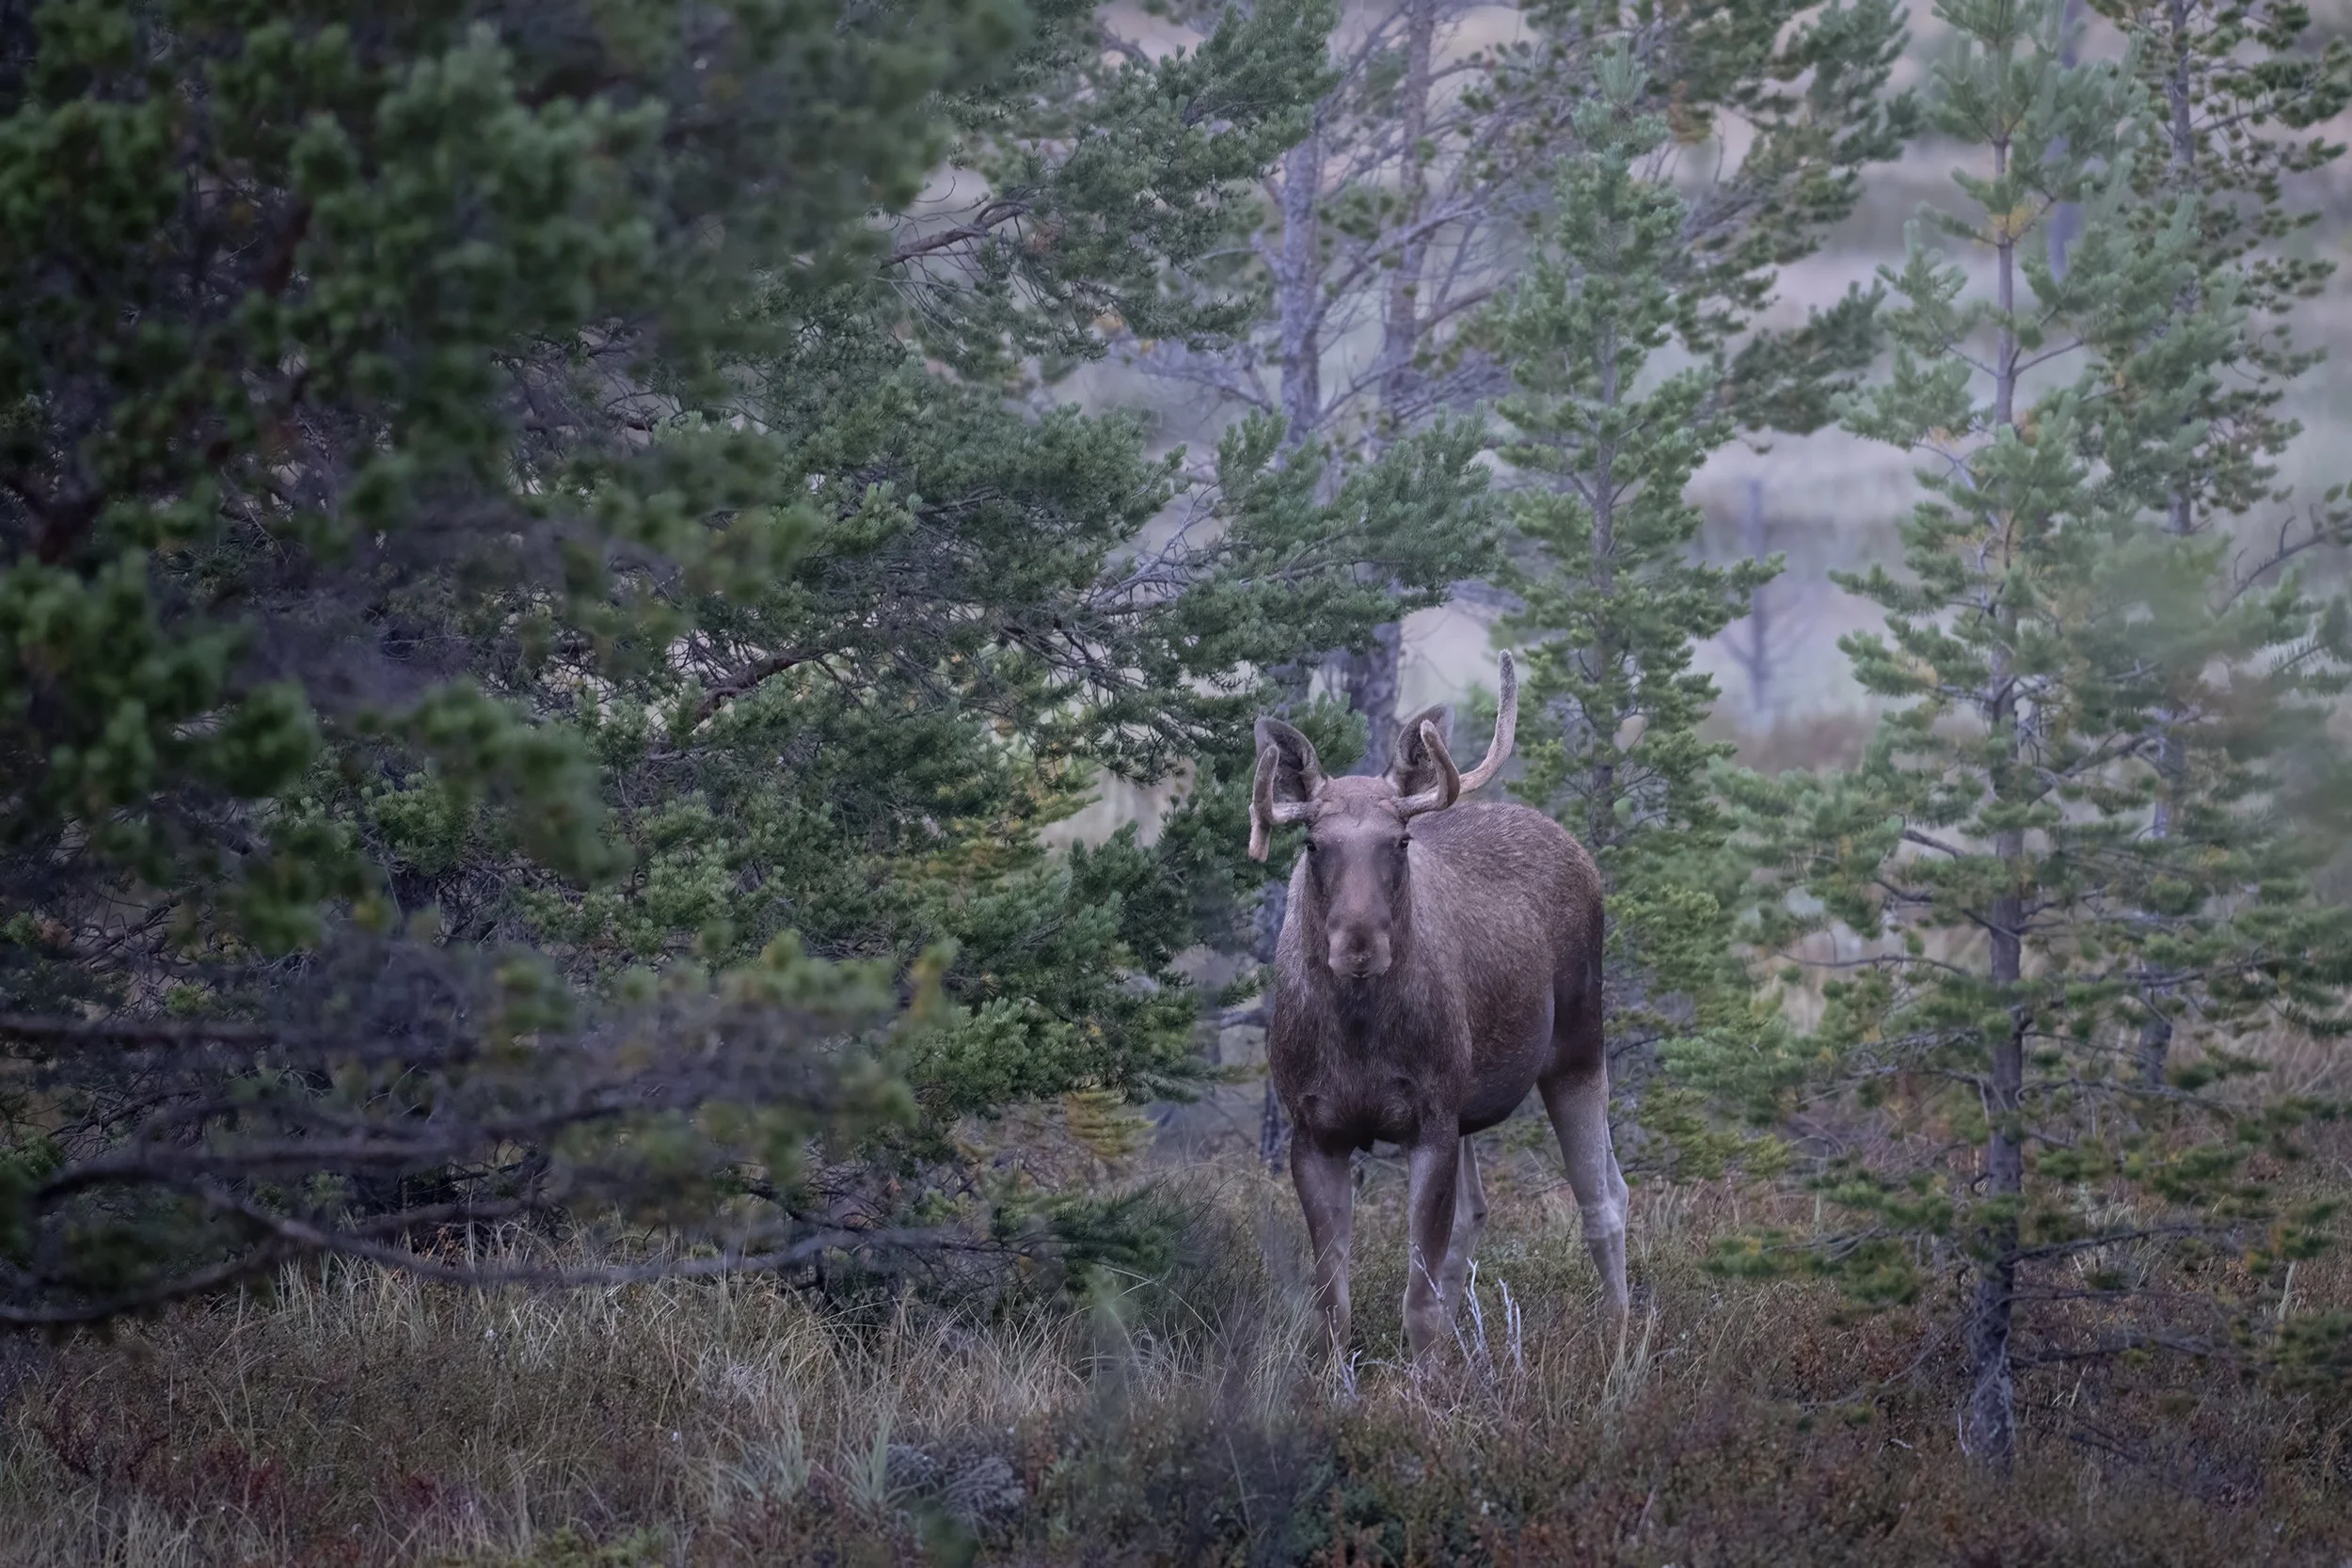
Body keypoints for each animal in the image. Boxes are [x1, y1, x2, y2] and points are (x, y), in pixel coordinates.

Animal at [1248, 652, 1629, 1360]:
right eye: (1313, 843)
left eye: (1400, 840)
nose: (1359, 944)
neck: (1359, 1033)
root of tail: (1574, 846)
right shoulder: (1313, 1130)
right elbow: (1332, 1305)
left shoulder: (1430, 1120)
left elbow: (1417, 1303)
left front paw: (1427, 1380)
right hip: (1474, 1103)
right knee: (1477, 1213)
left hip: (1577, 1047)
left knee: (1604, 1196)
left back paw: (1620, 1342)